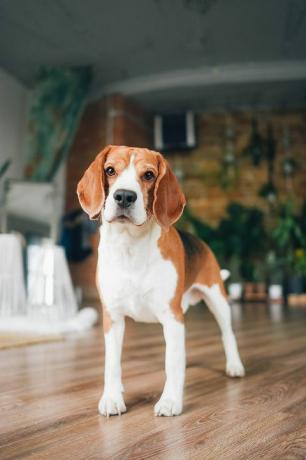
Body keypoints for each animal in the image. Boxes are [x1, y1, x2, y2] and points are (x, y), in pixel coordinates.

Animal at [77, 146, 245, 416]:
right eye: (110, 170)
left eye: (148, 175)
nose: (124, 196)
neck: (130, 245)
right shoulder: (112, 317)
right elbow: (112, 364)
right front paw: (112, 397)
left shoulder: (172, 317)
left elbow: (172, 363)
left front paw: (170, 400)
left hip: (217, 300)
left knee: (227, 333)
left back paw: (235, 365)